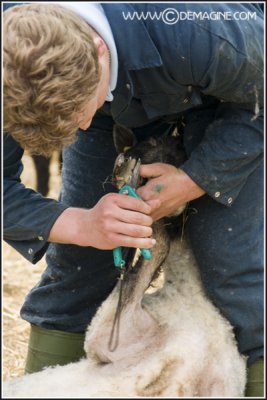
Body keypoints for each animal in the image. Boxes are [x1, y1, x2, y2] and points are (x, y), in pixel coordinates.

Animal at [3, 126, 248, 396]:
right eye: (151, 142)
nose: (177, 133)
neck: (190, 291)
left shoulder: (108, 333)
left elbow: (155, 248)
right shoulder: (107, 335)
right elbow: (152, 251)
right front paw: (126, 173)